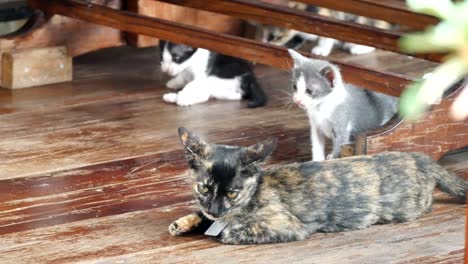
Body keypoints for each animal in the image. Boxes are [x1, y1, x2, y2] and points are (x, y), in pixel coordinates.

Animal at [168, 127, 464, 244]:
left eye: (232, 193)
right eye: (204, 188)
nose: (215, 210)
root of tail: (418, 157)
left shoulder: (288, 227)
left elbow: (234, 230)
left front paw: (223, 229)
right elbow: (201, 217)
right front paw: (185, 222)